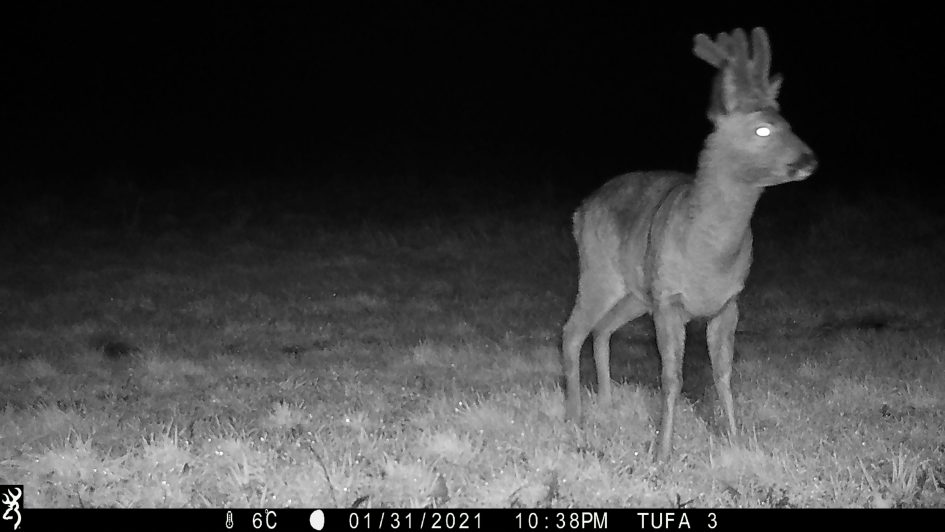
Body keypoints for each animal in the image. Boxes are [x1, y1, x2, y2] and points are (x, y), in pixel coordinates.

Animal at [561, 27, 817, 461]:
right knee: (572, 331)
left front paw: (735, 441)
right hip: (598, 272)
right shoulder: (670, 299)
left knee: (602, 330)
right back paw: (575, 420)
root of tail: (581, 209)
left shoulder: (728, 302)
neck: (710, 251)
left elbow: (724, 374)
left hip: (635, 293)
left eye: (787, 121)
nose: (809, 159)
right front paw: (662, 454)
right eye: (763, 129)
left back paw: (607, 403)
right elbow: (672, 377)